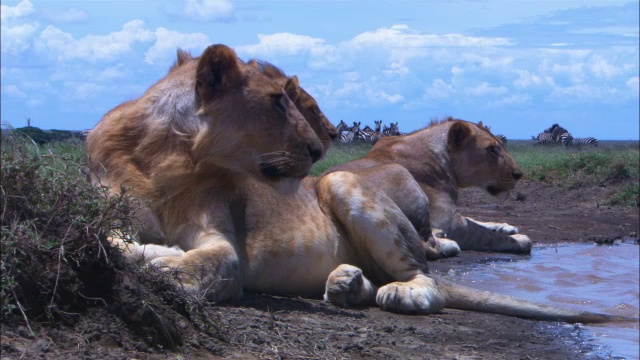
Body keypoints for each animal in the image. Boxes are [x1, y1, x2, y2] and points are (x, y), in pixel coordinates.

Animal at [85, 45, 624, 324]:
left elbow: (201, 263)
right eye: (279, 102)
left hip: (342, 182)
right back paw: (346, 283)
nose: (318, 147)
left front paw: (158, 255)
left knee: (428, 280)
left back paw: (393, 292)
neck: (165, 159)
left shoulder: (225, 247)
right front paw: (140, 247)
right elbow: (110, 234)